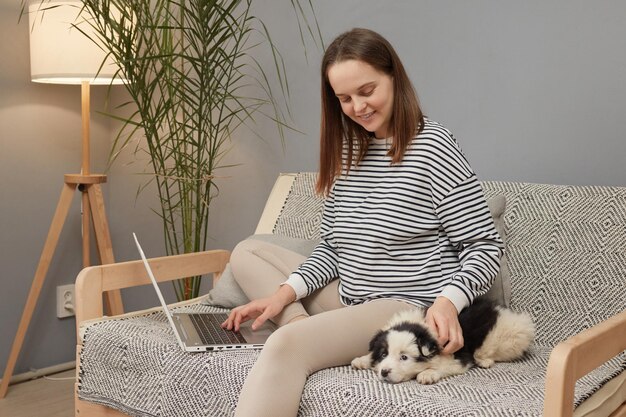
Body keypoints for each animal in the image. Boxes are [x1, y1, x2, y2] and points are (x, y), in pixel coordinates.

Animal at [352, 296, 532, 384]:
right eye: (384, 354)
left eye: (404, 357)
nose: (384, 372)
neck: (422, 328)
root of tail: (500, 309)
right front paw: (362, 360)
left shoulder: (458, 356)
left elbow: (443, 365)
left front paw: (427, 374)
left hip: (509, 337)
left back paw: (484, 360)